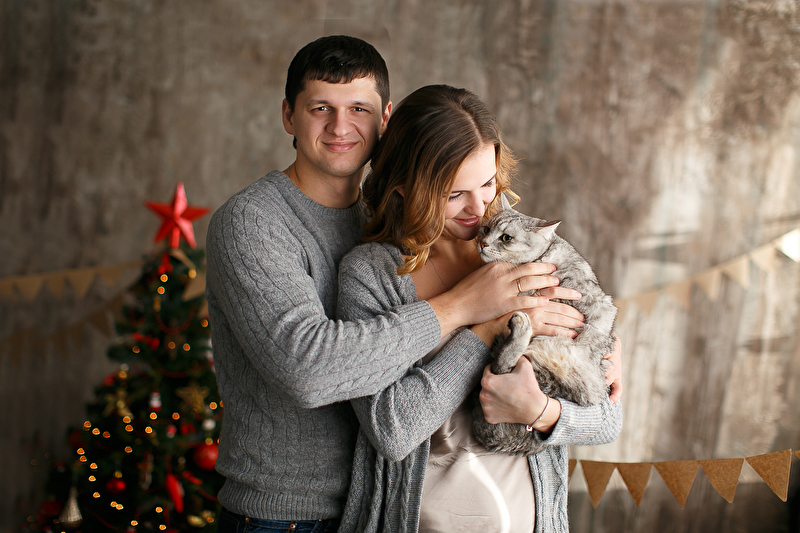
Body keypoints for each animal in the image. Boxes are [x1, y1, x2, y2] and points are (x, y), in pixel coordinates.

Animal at [471, 194, 617, 455]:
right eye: (486, 229)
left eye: (506, 238)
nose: (483, 243)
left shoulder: (600, 305)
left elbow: (596, 334)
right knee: (501, 363)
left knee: (503, 365)